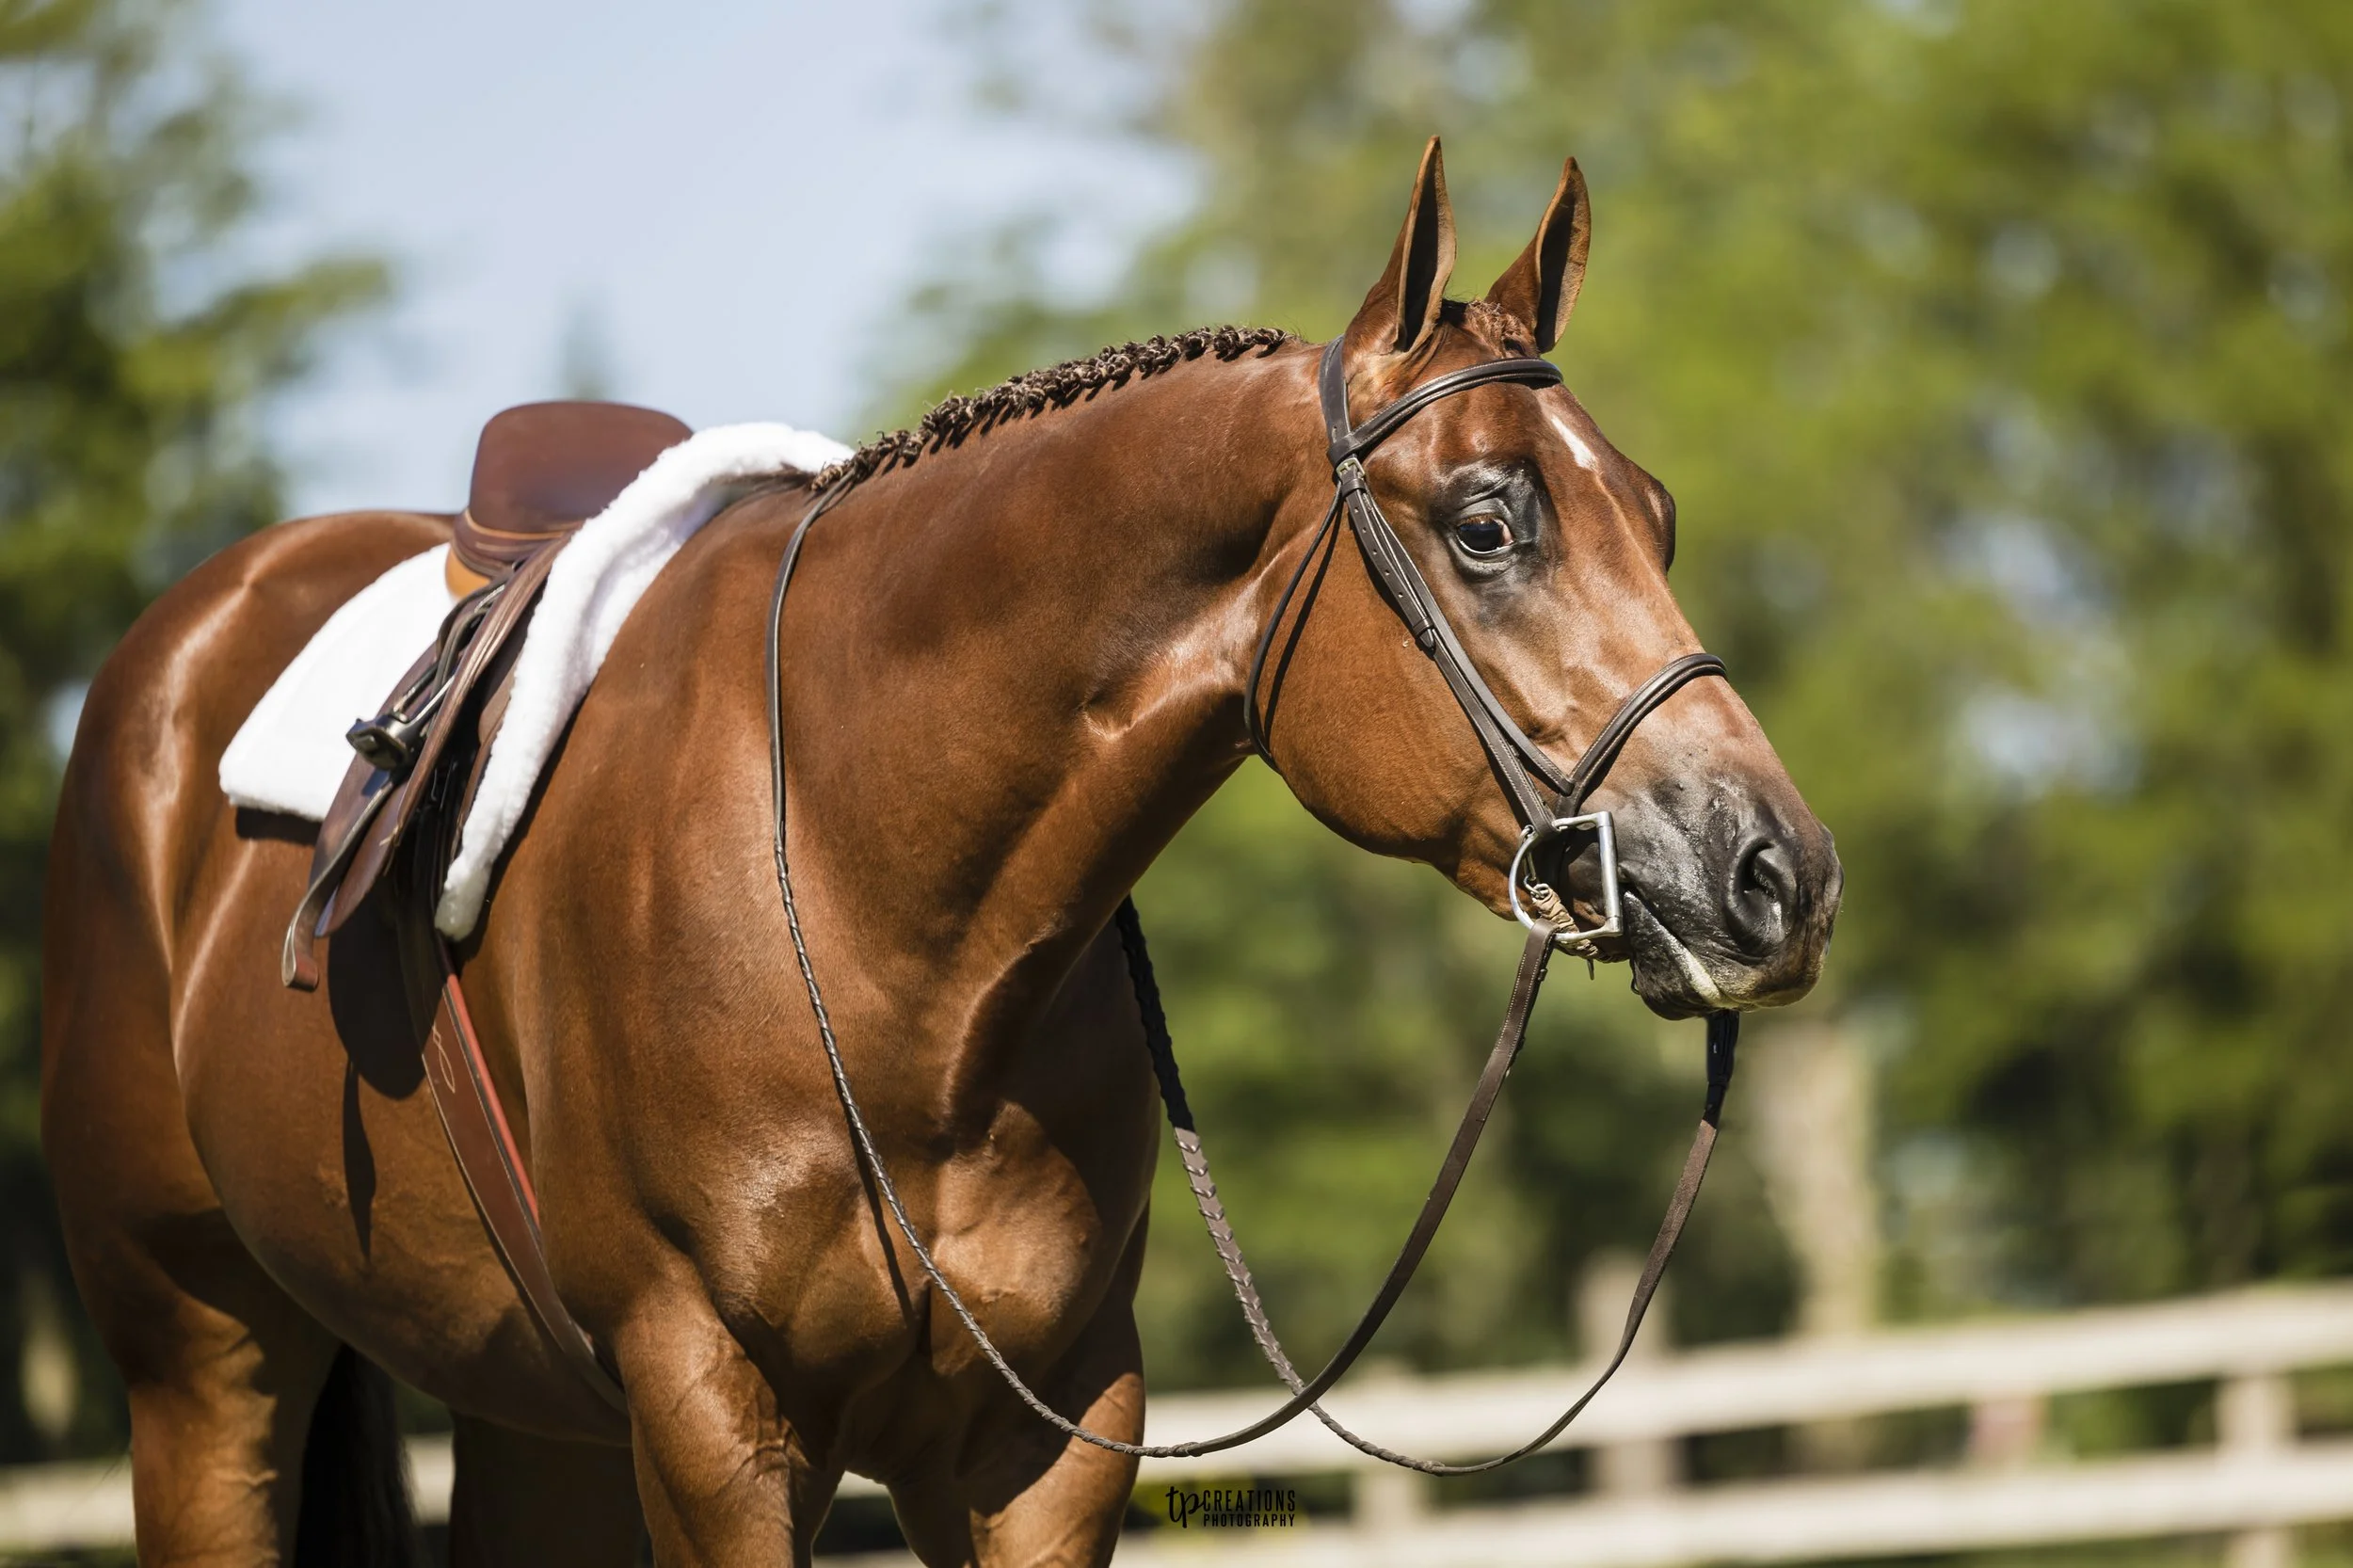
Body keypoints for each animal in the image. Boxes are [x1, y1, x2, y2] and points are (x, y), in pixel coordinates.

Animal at [41, 139, 1839, 1566]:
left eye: (1660, 516)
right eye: (1486, 525)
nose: (1779, 873)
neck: (873, 908)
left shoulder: (1035, 1444)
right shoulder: (713, 1426)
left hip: (530, 1420)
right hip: (202, 1365)